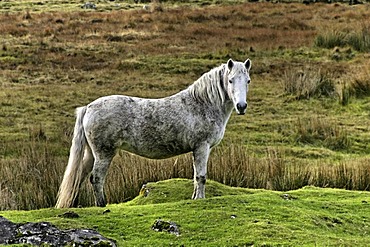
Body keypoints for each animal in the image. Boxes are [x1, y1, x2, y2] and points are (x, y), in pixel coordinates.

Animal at [55, 58, 251, 207]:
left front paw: (195, 198)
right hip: (104, 153)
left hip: (91, 153)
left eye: (248, 81)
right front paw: (200, 200)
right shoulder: (202, 147)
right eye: (231, 80)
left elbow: (196, 177)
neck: (202, 104)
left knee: (78, 177)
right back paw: (102, 205)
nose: (241, 106)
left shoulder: (198, 149)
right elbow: (201, 176)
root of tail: (88, 107)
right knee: (96, 179)